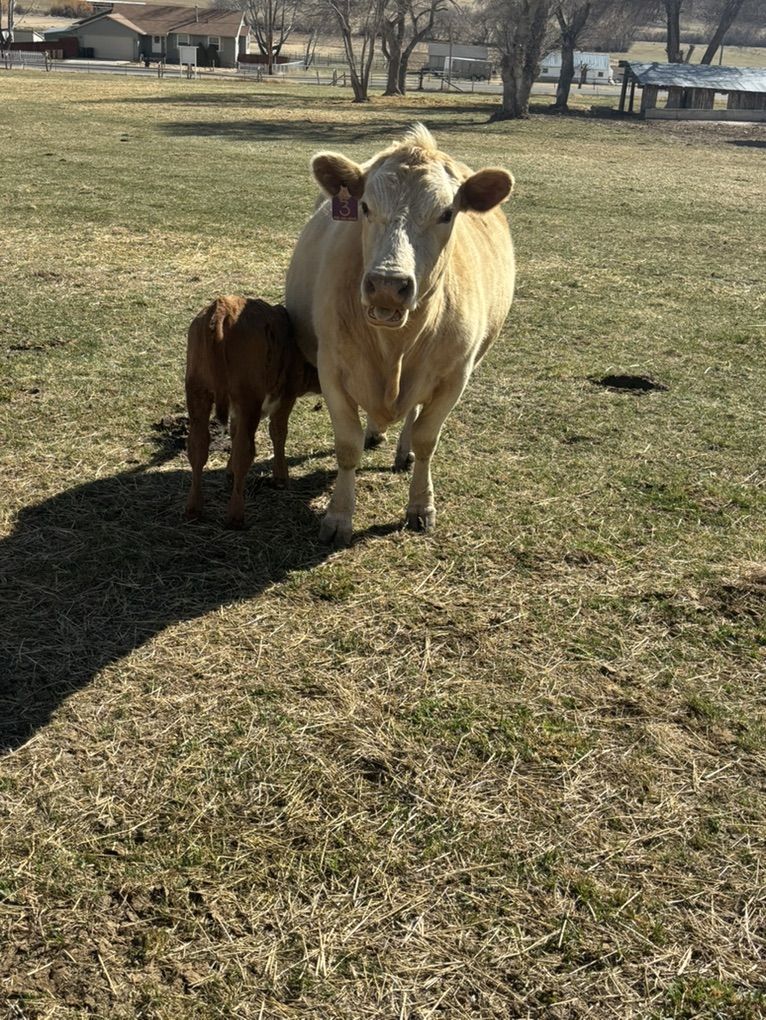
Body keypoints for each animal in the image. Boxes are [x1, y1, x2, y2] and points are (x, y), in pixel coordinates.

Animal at [184, 295, 320, 528]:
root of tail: (222, 307)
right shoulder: (286, 395)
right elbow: (278, 432)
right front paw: (280, 478)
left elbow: (234, 431)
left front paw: (228, 472)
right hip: (249, 400)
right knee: (244, 453)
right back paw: (236, 515)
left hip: (197, 391)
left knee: (198, 447)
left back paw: (194, 507)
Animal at [285, 124, 515, 546]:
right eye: (364, 207)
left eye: (447, 213)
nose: (388, 285)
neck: (395, 347)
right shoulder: (332, 369)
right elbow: (347, 445)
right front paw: (338, 517)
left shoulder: (455, 375)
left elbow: (427, 438)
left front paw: (421, 507)